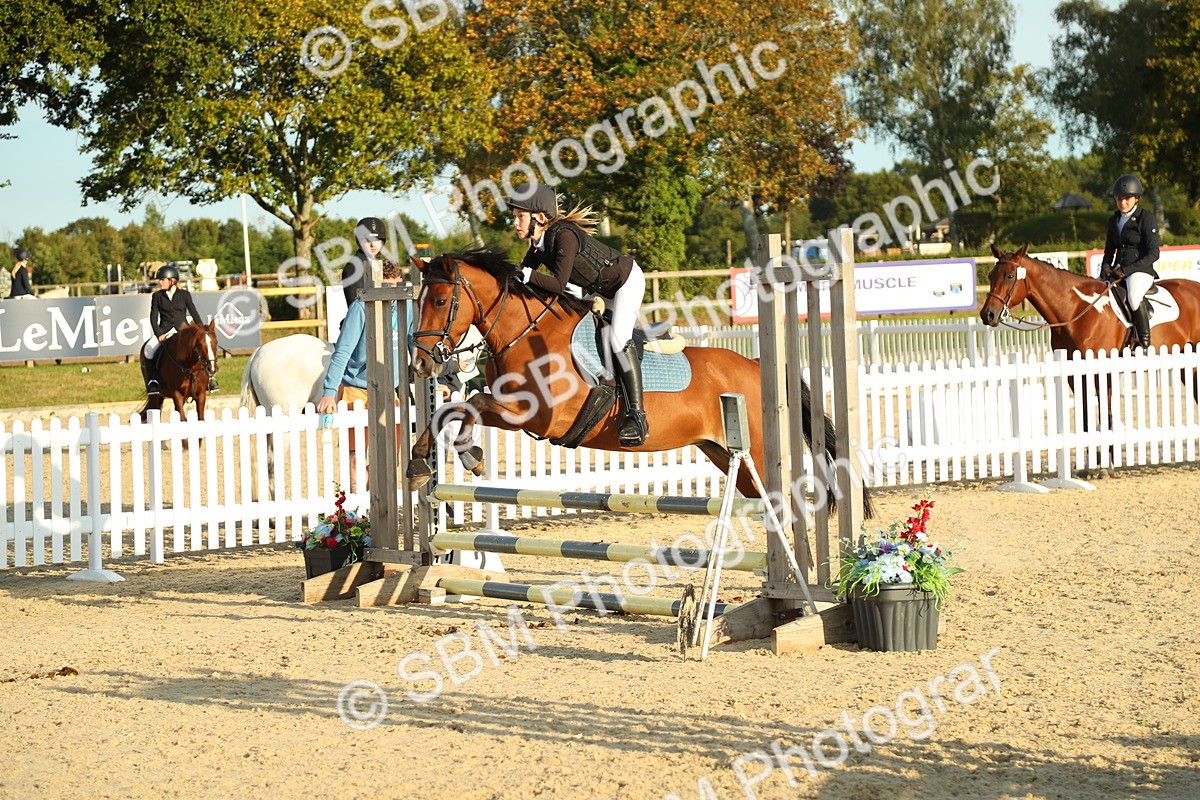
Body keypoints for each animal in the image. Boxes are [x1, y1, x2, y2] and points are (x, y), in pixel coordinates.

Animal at [407, 249, 872, 516]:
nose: (420, 365)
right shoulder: (516, 413)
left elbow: (470, 405)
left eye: (442, 301)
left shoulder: (539, 418)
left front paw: (471, 456)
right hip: (728, 456)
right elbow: (450, 409)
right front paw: (418, 466)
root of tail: (758, 366)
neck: (527, 332)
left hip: (756, 451)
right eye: (417, 301)